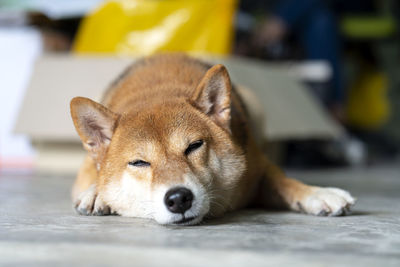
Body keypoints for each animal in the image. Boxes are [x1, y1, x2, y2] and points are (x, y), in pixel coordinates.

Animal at [70, 54, 354, 226]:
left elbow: (284, 181)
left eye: (194, 146)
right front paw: (97, 194)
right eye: (139, 162)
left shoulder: (258, 167)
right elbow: (96, 178)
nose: (178, 198)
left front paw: (318, 193)